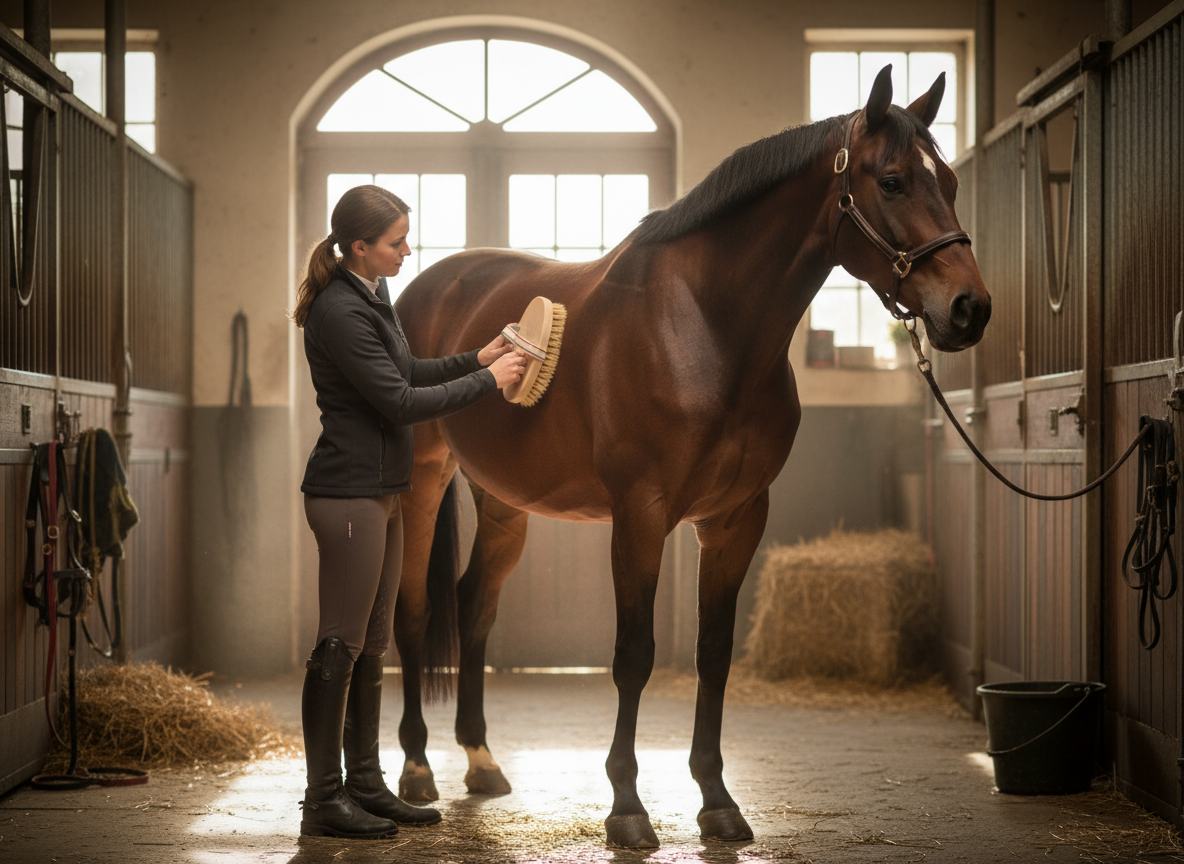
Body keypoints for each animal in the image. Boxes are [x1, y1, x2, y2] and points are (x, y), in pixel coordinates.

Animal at [389, 65, 991, 849]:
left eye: (948, 180)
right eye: (891, 181)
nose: (970, 308)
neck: (705, 327)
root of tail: (427, 289)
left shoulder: (735, 519)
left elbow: (713, 654)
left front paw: (717, 800)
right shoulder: (640, 517)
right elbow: (634, 655)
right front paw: (627, 808)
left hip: (503, 502)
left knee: (473, 606)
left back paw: (482, 761)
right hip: (423, 482)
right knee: (412, 609)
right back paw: (416, 769)